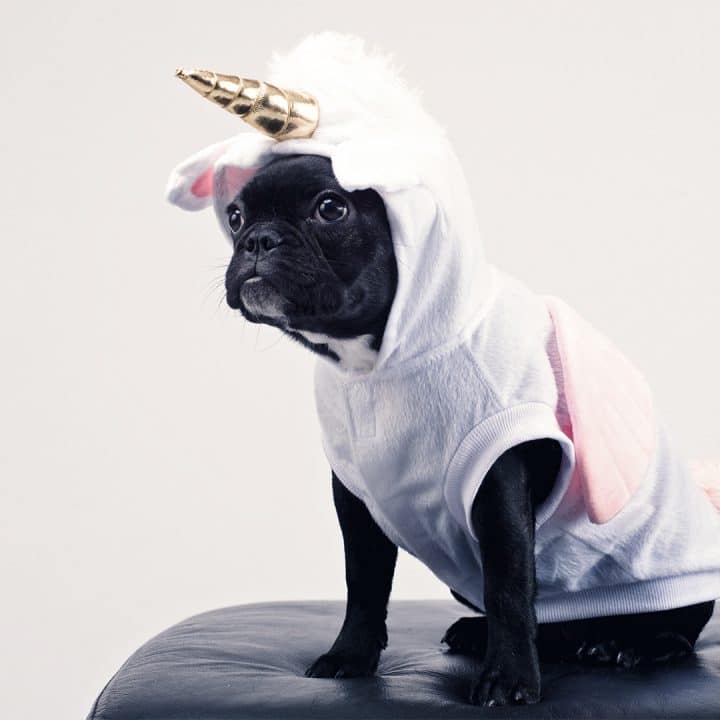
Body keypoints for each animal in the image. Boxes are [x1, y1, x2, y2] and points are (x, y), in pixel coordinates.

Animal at [222, 149, 716, 704]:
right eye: (235, 217)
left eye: (331, 209)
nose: (257, 239)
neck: (373, 363)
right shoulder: (355, 499)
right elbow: (364, 580)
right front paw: (350, 655)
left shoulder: (497, 481)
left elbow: (508, 583)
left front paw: (510, 680)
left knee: (677, 631)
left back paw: (631, 645)